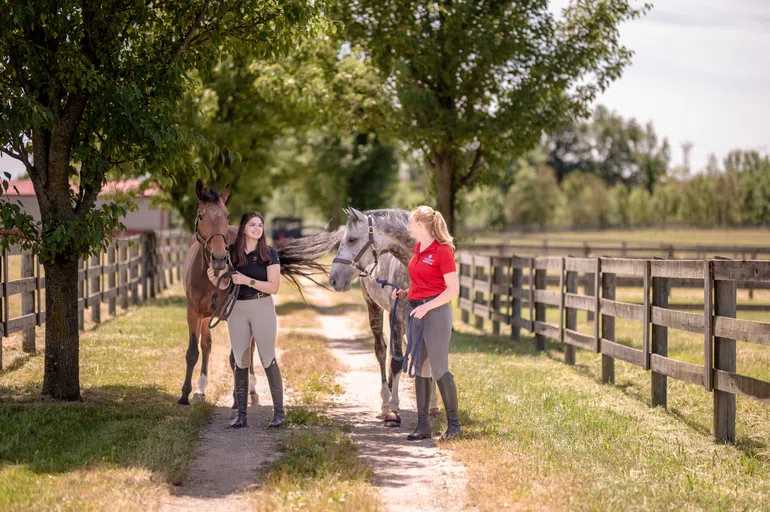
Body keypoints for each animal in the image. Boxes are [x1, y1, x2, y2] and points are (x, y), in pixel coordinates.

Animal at [179, 182, 340, 406]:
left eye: (226, 215)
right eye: (201, 216)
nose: (219, 259)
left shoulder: (233, 313)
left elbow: (237, 357)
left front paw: (237, 398)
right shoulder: (193, 313)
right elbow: (193, 352)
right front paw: (185, 395)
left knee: (251, 347)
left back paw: (252, 390)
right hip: (205, 317)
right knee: (207, 345)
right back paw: (201, 390)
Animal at [328, 206, 436, 426]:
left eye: (351, 239)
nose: (333, 279)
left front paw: (433, 406)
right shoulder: (397, 316)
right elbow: (395, 361)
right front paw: (393, 410)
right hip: (374, 309)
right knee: (382, 351)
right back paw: (386, 401)